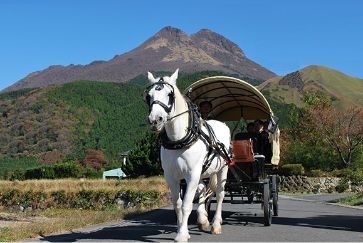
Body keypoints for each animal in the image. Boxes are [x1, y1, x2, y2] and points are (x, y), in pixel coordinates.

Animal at [144, 69, 230, 242]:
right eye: (148, 96)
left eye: (170, 94)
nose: (155, 120)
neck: (179, 140)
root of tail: (221, 123)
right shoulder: (171, 176)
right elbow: (177, 204)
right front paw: (181, 229)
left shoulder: (192, 175)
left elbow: (186, 205)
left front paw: (182, 234)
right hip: (204, 172)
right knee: (203, 190)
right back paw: (203, 220)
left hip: (222, 169)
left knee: (220, 193)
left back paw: (216, 224)